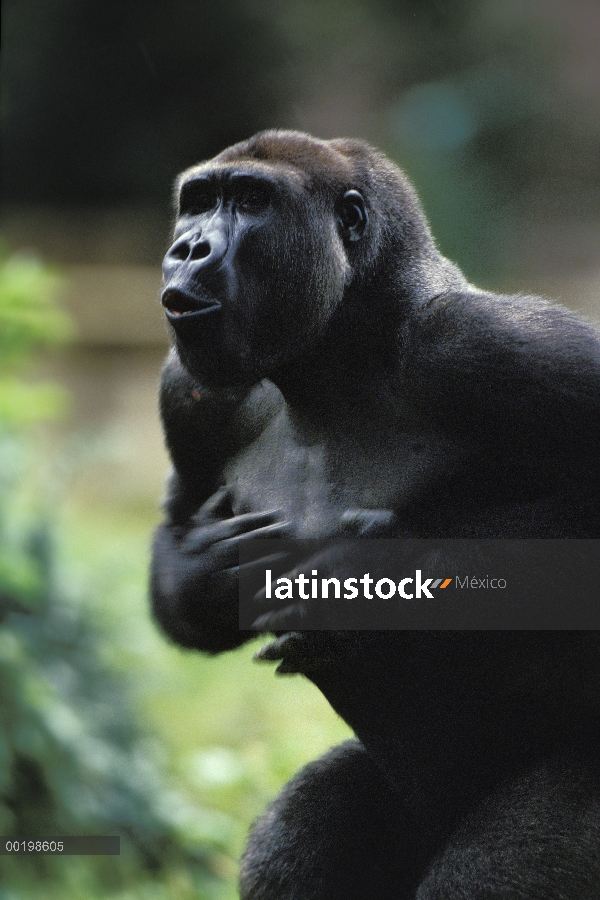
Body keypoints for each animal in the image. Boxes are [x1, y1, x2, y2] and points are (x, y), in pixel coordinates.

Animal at [149, 130, 600, 896]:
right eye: (199, 202)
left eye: (251, 201)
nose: (188, 248)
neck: (339, 355)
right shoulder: (191, 396)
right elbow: (175, 534)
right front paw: (207, 571)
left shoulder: (498, 345)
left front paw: (371, 571)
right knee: (296, 837)